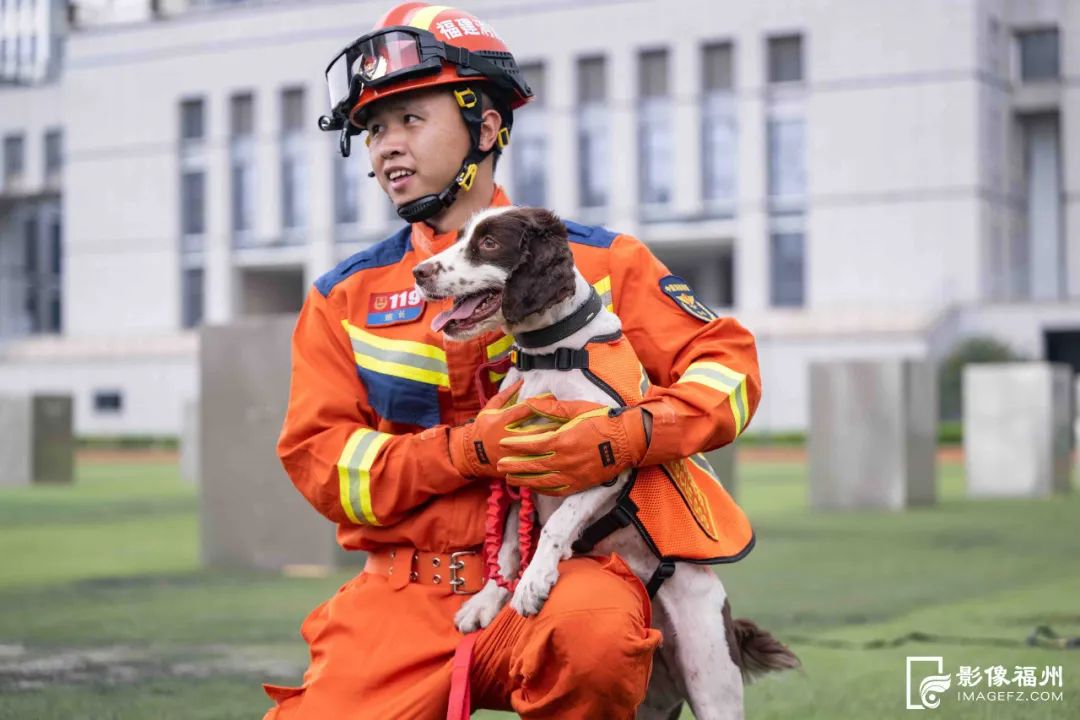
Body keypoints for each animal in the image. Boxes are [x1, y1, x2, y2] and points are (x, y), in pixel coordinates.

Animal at [408, 205, 799, 716]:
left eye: (489, 243)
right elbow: (510, 541)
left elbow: (556, 524)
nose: (419, 272)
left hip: (712, 676)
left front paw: (535, 581)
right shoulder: (511, 464)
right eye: (460, 237)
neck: (550, 356)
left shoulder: (600, 465)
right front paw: (488, 600)